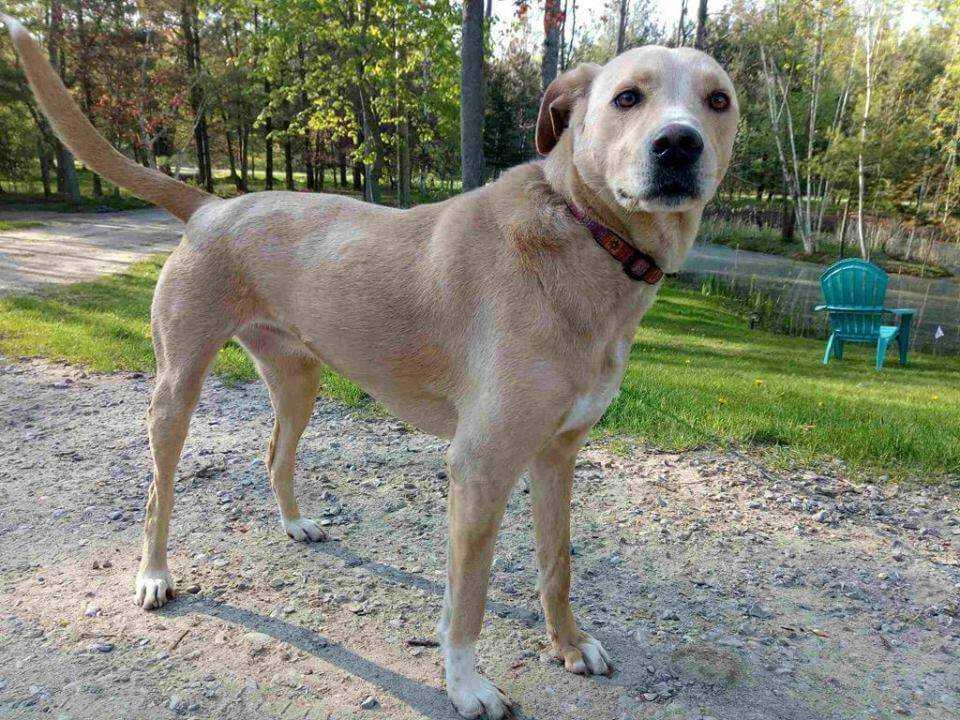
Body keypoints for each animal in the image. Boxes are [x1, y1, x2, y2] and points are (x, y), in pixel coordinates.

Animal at [3, 15, 740, 716]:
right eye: (627, 97)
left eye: (718, 100)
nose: (679, 145)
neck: (586, 232)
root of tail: (213, 206)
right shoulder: (480, 465)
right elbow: (467, 601)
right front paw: (466, 686)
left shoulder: (556, 454)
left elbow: (556, 565)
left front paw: (568, 643)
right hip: (175, 389)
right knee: (159, 492)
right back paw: (153, 576)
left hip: (298, 380)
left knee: (275, 452)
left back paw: (294, 523)